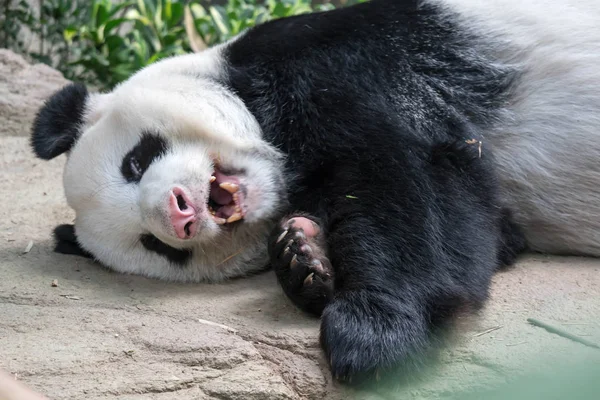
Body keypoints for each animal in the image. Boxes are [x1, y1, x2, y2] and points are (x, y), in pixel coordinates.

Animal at [30, 0, 600, 384]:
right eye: (155, 246)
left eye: (136, 160)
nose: (179, 215)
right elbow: (480, 230)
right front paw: (303, 257)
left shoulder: (336, 63)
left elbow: (408, 172)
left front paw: (373, 332)